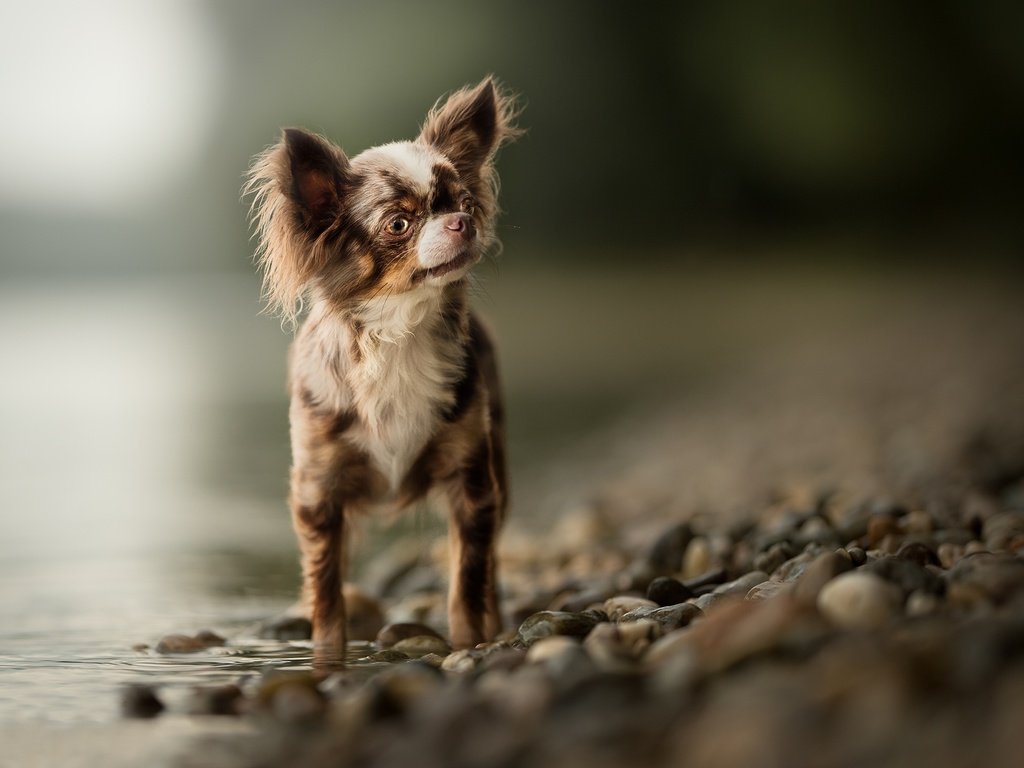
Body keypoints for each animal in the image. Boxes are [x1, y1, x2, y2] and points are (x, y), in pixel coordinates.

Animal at [244, 75, 520, 659]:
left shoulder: (473, 485)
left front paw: (471, 643)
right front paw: (328, 657)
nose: (462, 222)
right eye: (399, 223)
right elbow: (327, 596)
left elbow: (468, 580)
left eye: (465, 201)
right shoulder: (319, 496)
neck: (398, 336)